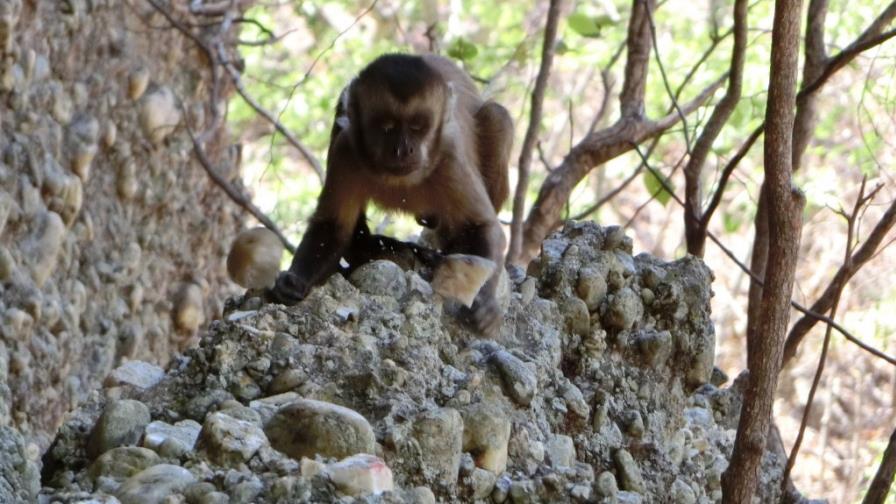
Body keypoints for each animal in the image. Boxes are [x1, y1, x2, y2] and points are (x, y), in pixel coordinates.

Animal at [267, 53, 514, 335]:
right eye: (386, 127)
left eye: (418, 127)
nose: (403, 149)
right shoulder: (346, 151)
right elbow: (332, 226)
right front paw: (294, 282)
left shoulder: (450, 158)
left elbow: (481, 226)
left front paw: (484, 303)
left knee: (497, 117)